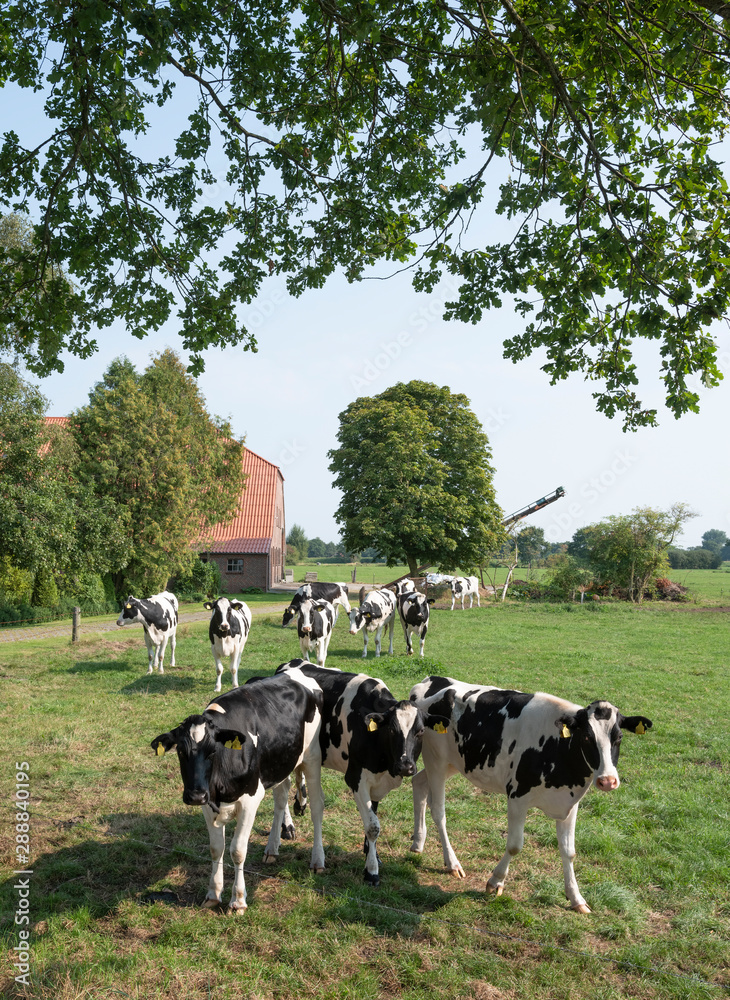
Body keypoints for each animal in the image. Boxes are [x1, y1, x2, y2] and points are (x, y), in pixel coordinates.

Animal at [151, 668, 324, 912]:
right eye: (180, 752)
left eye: (213, 751)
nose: (195, 796)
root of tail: (295, 671)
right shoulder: (207, 803)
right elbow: (216, 848)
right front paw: (213, 894)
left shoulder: (250, 800)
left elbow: (238, 850)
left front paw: (238, 901)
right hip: (281, 763)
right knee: (281, 799)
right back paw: (272, 848)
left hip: (312, 758)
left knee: (317, 807)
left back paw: (317, 860)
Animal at [278, 664, 450, 884]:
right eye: (392, 730)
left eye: (420, 731)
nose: (406, 766)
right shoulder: (355, 778)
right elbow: (373, 826)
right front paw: (371, 871)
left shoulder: (377, 782)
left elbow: (372, 816)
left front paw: (371, 854)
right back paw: (287, 827)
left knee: (299, 774)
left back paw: (300, 803)